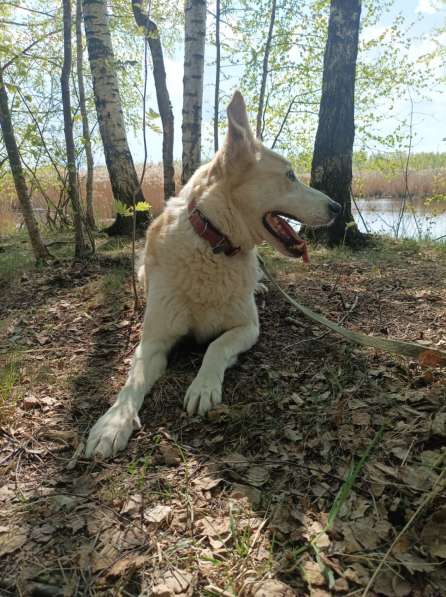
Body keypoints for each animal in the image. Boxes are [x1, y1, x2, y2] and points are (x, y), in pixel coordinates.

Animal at [85, 91, 340, 458]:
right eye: (290, 175)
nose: (338, 207)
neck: (215, 245)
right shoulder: (153, 341)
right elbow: (131, 383)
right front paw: (112, 423)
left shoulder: (247, 327)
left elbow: (215, 347)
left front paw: (203, 386)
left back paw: (260, 288)